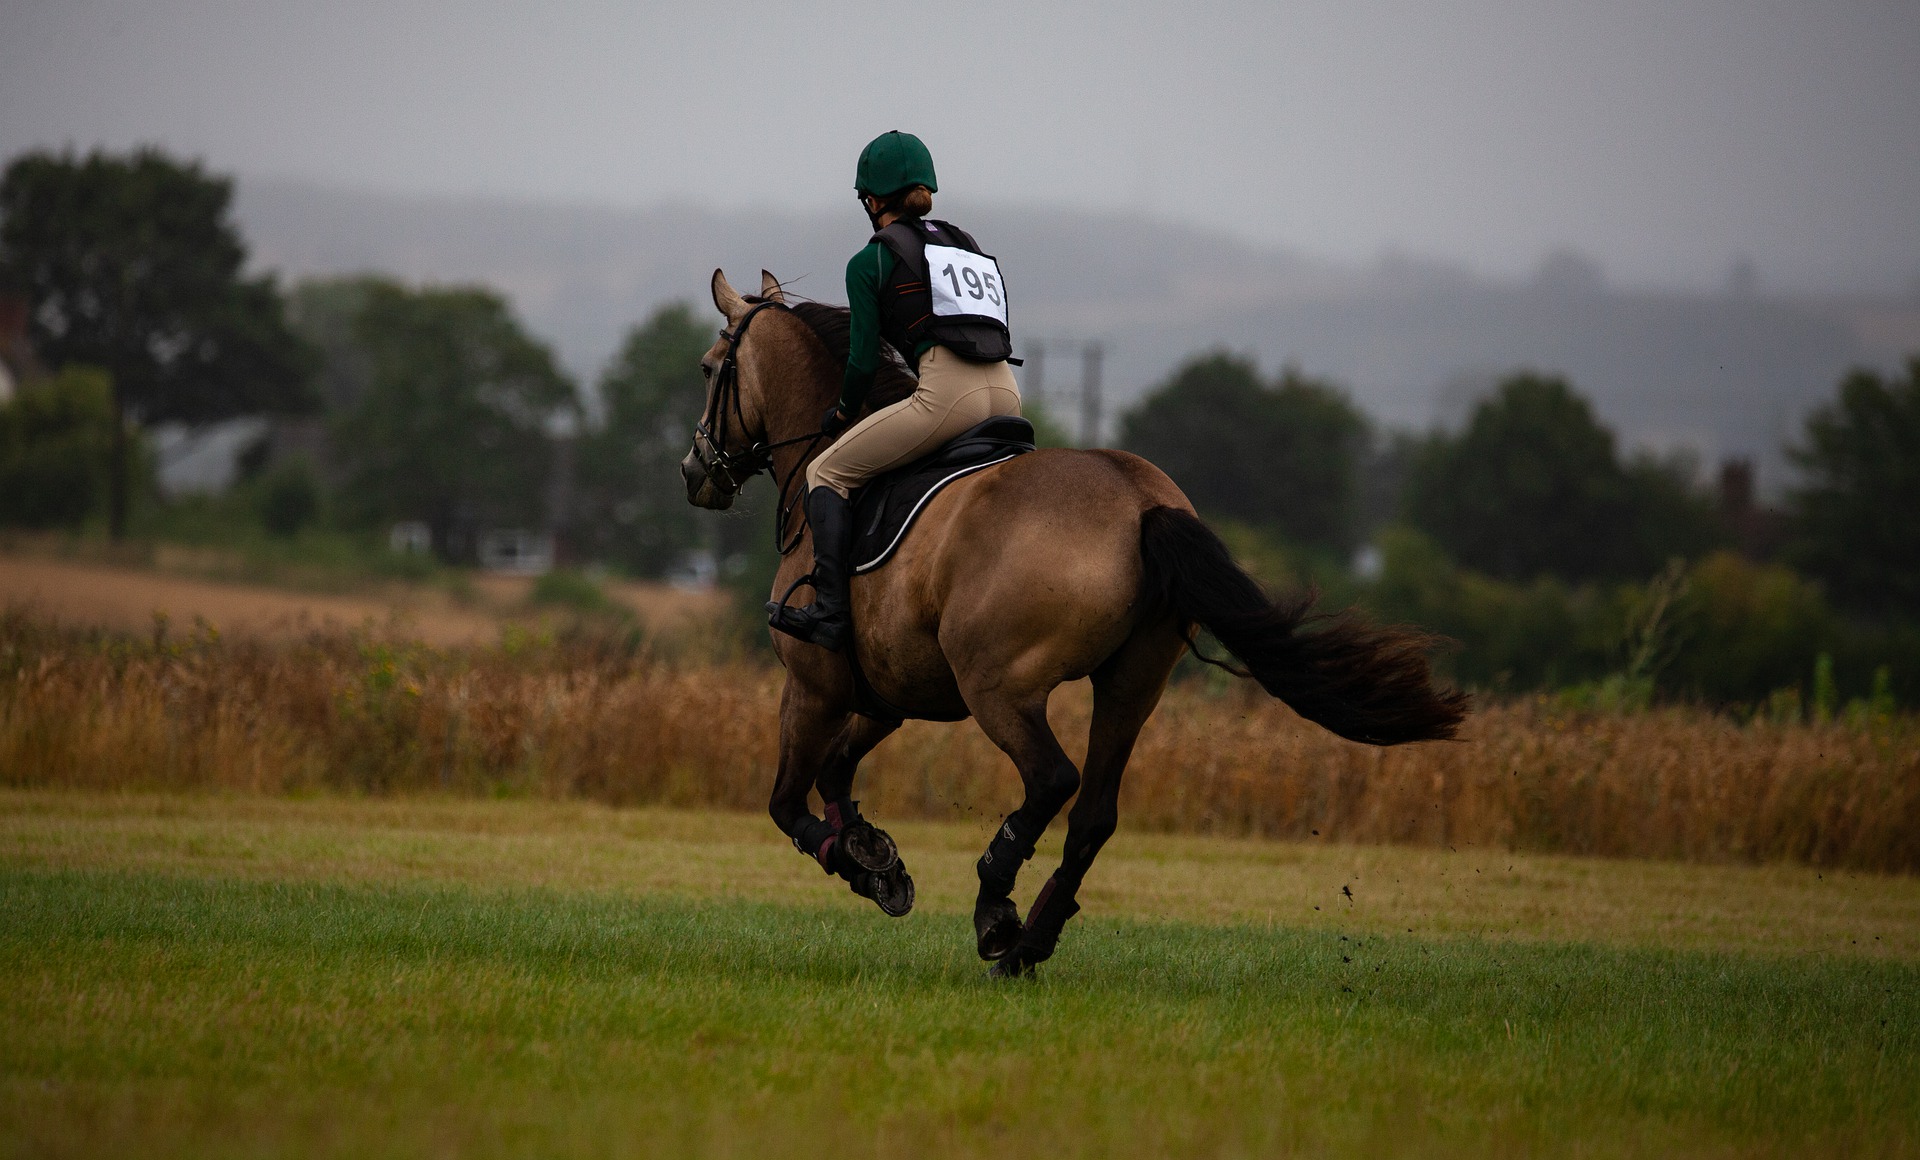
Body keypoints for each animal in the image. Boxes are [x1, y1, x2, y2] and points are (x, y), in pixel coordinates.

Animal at [683, 268, 1459, 979]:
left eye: (709, 368)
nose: (695, 472)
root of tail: (1142, 502)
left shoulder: (814, 687)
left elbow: (788, 802)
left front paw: (863, 866)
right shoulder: (889, 694)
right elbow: (838, 771)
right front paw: (876, 857)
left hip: (999, 687)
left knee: (1052, 778)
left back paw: (996, 911)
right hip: (1130, 685)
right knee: (1093, 814)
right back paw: (1029, 942)